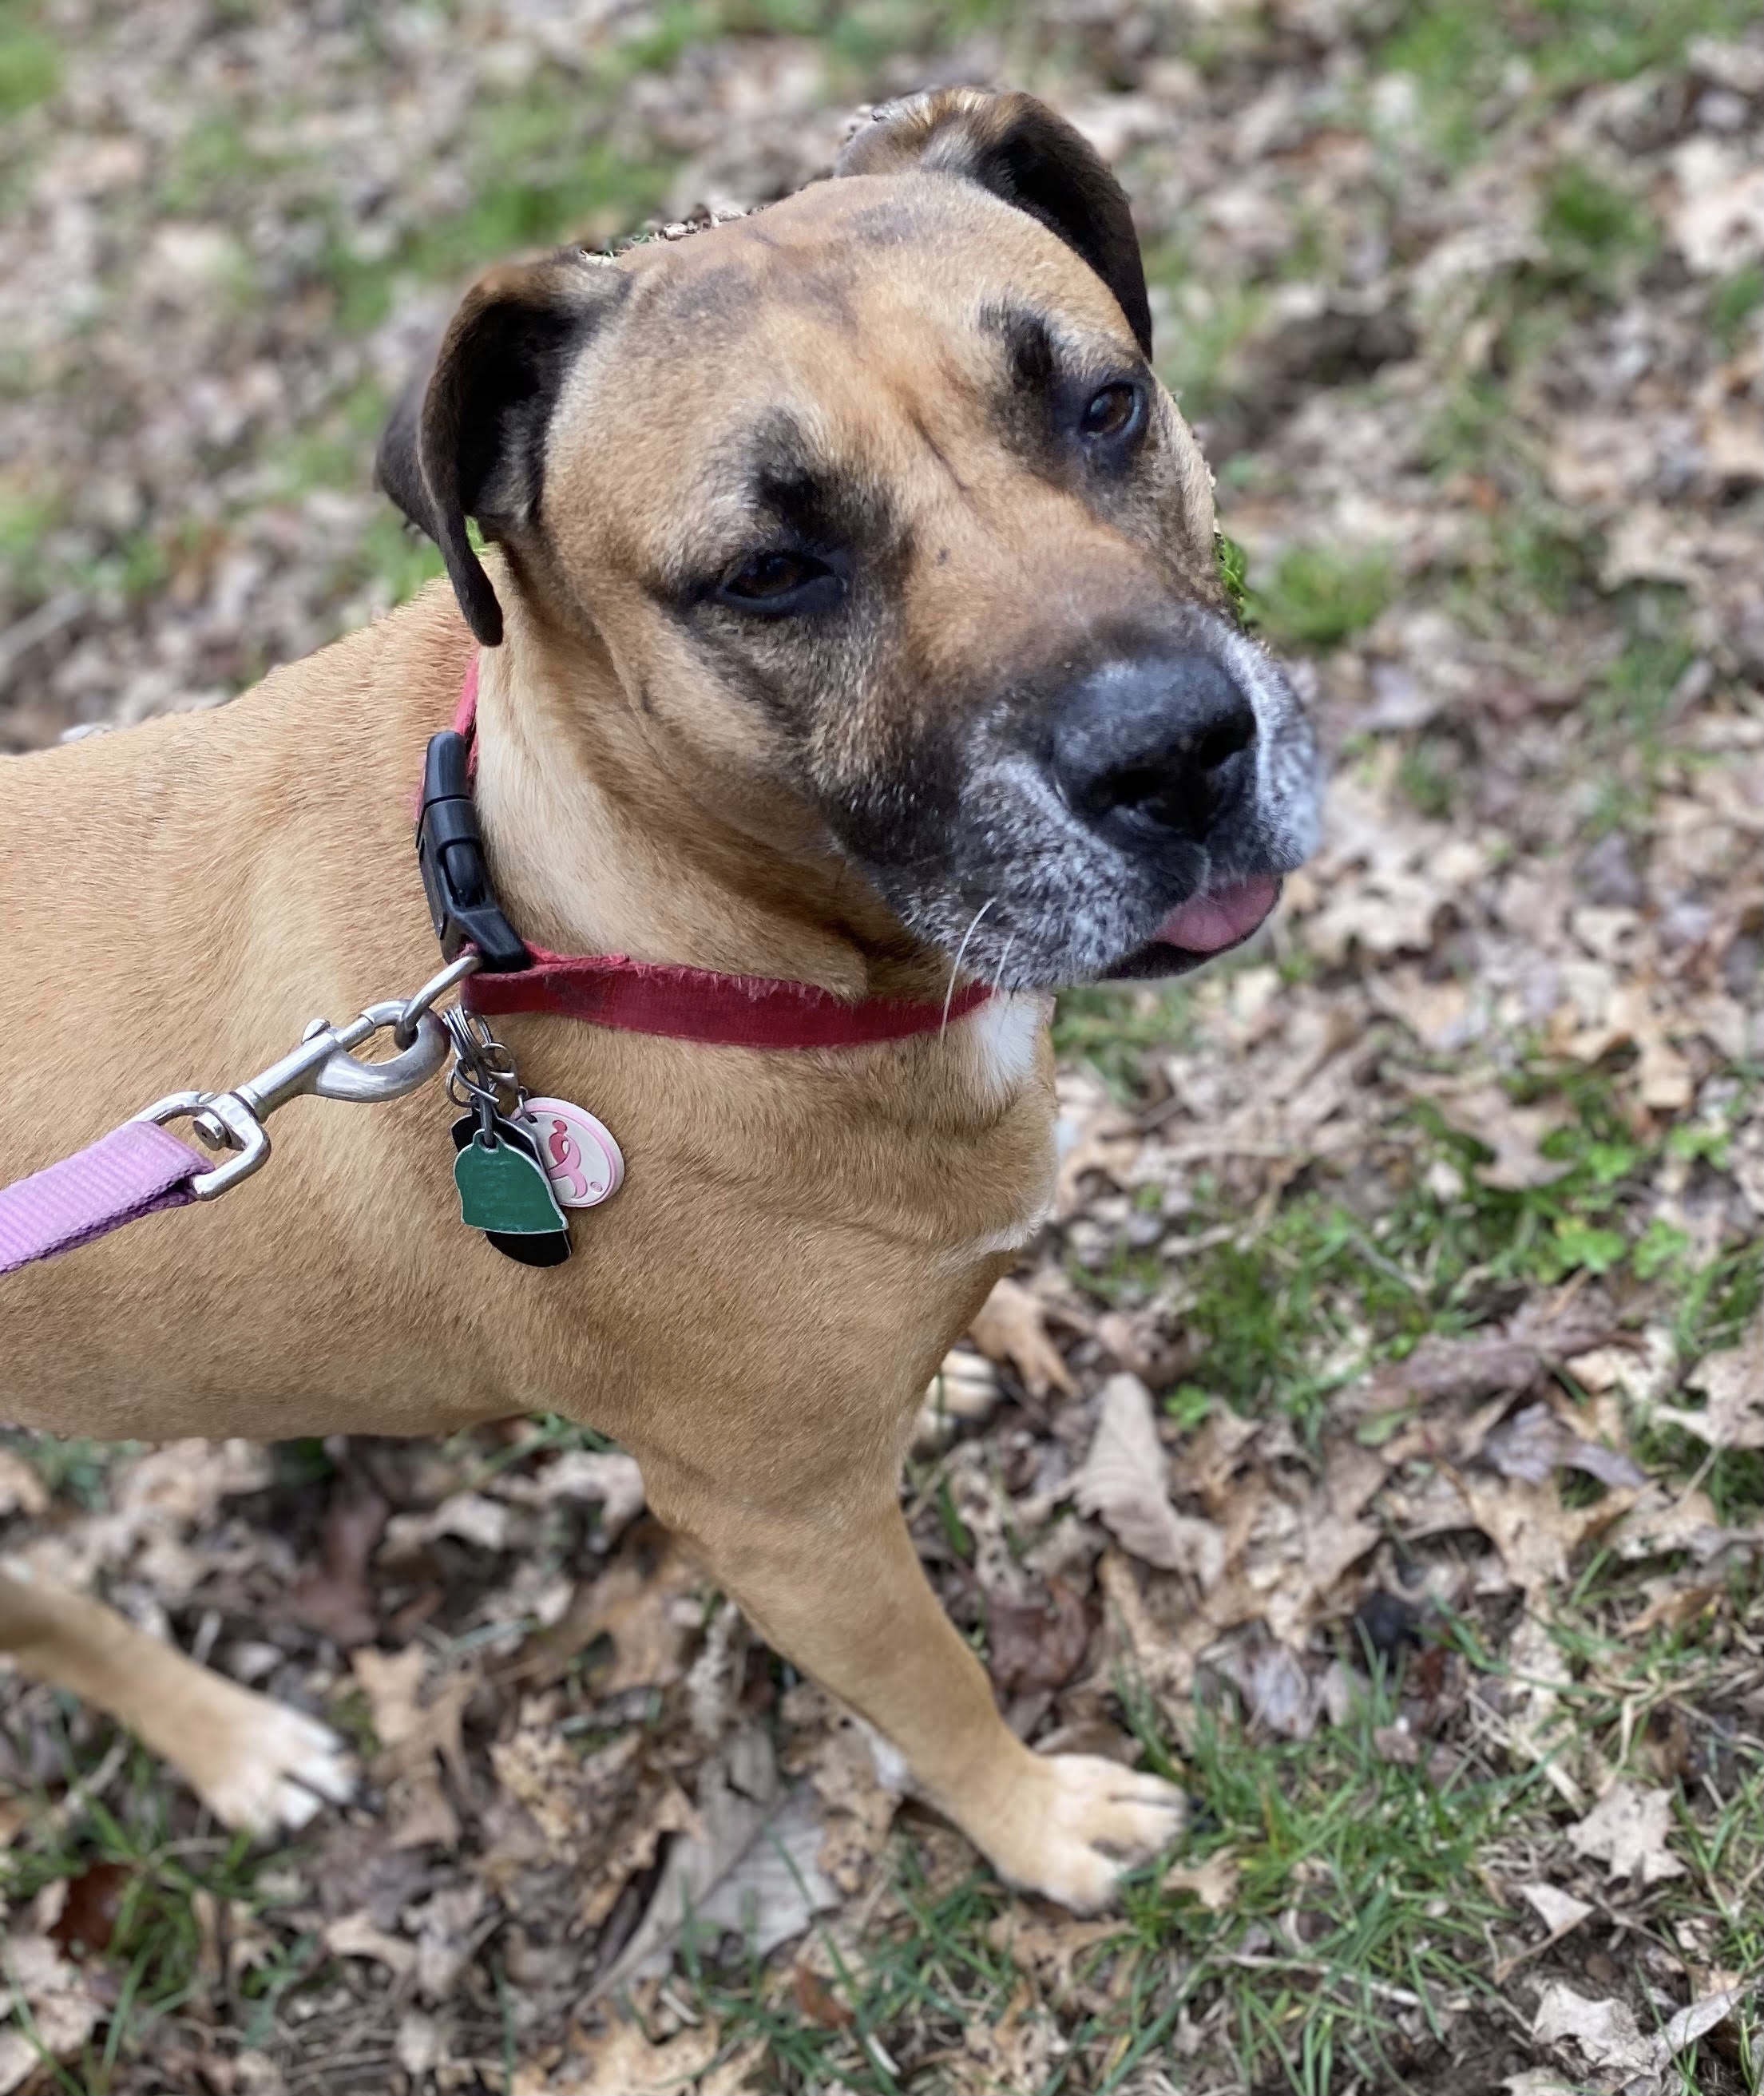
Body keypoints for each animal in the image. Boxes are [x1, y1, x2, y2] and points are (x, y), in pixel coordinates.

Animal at [0, 89, 1315, 1912]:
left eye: (1102, 404)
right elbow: (936, 1688)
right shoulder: (785, 1529)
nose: (1178, 755)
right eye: (766, 571)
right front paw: (1040, 1824)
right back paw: (237, 1745)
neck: (582, 916)